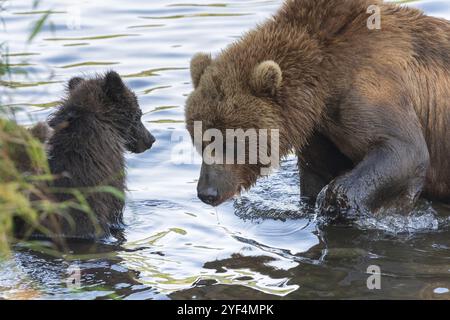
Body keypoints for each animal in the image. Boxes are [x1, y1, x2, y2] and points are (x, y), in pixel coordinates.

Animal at [185, 0, 450, 220]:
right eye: (199, 139)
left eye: (232, 141)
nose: (207, 192)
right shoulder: (319, 131)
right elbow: (317, 172)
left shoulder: (371, 88)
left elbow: (403, 149)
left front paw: (335, 204)